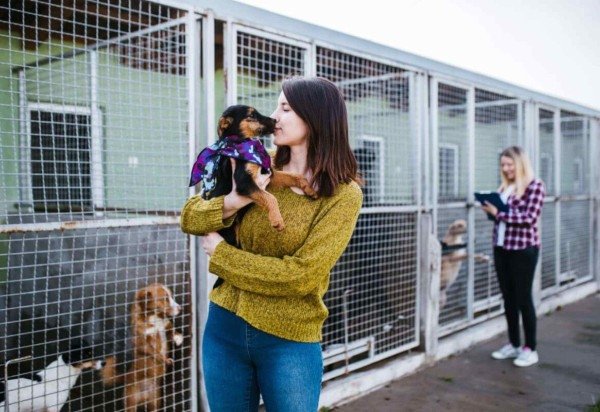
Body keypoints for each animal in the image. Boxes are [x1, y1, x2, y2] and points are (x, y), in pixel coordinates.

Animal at [101, 283, 183, 412]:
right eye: (165, 299)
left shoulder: (165, 326)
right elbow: (154, 351)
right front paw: (164, 359)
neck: (155, 318)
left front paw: (178, 338)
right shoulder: (142, 342)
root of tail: (127, 377)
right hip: (131, 402)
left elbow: (172, 330)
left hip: (155, 400)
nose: (181, 308)